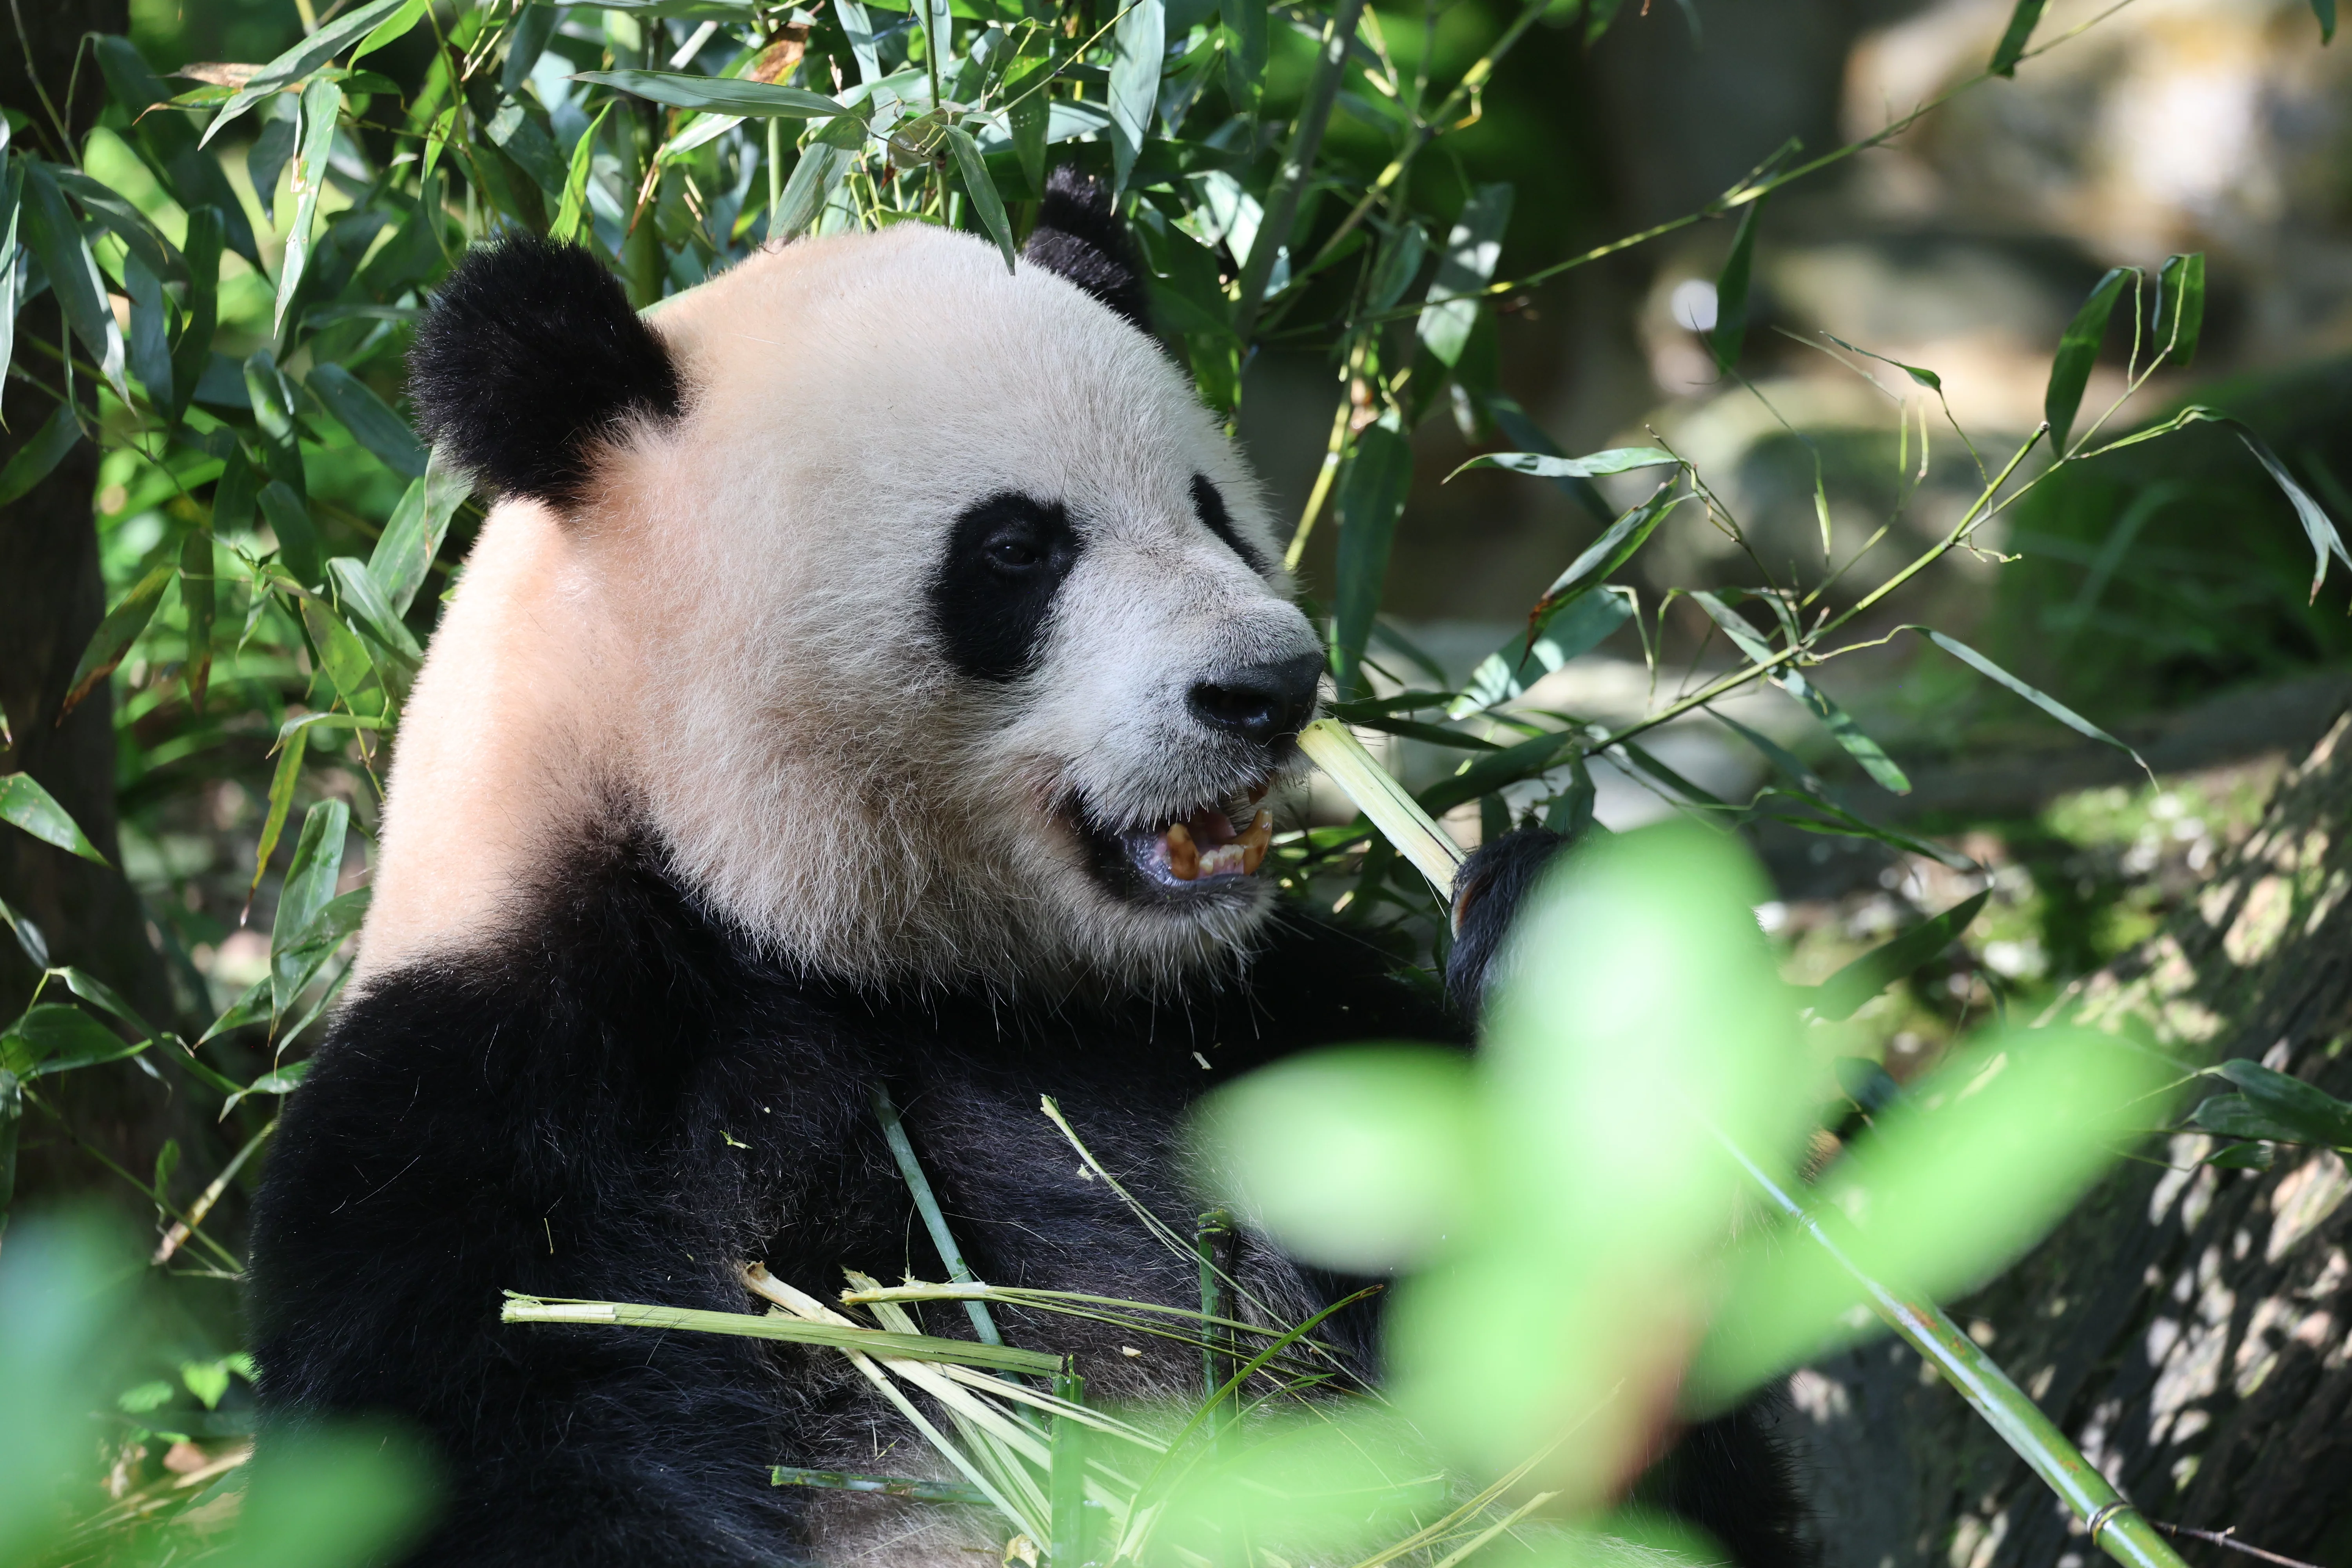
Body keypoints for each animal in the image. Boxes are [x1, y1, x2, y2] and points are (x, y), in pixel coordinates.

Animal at [247, 168, 1808, 1568]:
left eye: (1212, 507)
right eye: (1014, 547)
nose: (1269, 687)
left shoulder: (1252, 1023)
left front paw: (1582, 957)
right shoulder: (500, 1104)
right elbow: (502, 1463)